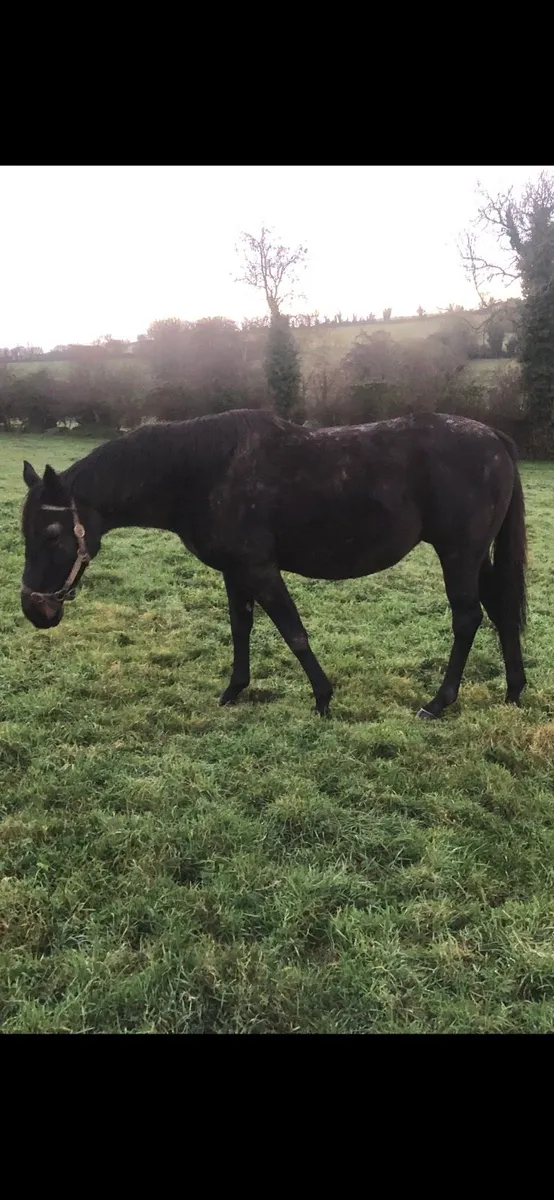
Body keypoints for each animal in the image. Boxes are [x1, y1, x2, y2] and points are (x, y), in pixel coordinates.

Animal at [20, 408, 527, 720]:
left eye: (52, 534)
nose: (34, 610)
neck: (203, 473)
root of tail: (495, 438)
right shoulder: (235, 572)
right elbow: (240, 628)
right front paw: (234, 690)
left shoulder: (261, 569)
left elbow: (293, 631)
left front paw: (322, 698)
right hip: (476, 556)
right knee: (501, 611)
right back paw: (514, 691)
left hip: (458, 553)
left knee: (467, 618)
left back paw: (438, 703)